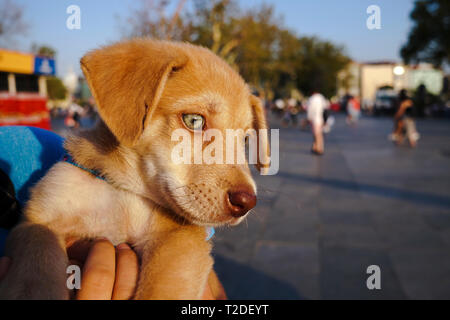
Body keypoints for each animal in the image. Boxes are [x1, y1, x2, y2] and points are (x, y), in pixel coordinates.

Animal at [0, 39, 268, 300]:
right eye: (194, 120)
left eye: (245, 140)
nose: (247, 202)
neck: (122, 189)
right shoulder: (38, 220)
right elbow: (36, 274)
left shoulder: (176, 238)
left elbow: (158, 292)